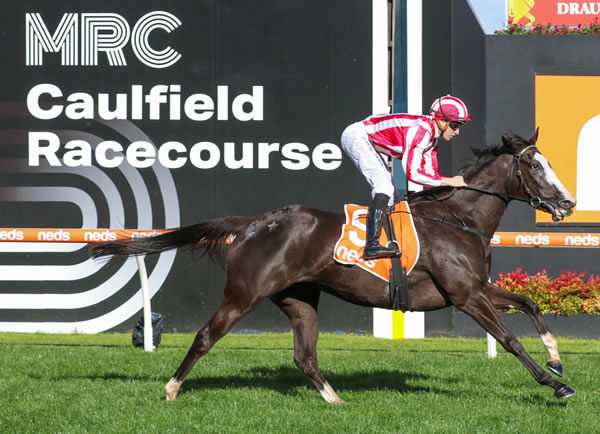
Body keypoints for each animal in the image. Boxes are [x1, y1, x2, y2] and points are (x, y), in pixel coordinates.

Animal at [90, 128, 576, 400]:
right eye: (536, 165)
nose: (568, 203)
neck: (460, 218)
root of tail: (254, 223)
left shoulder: (477, 288)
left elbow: (531, 304)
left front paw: (556, 359)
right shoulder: (466, 295)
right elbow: (510, 340)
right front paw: (556, 385)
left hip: (299, 298)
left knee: (305, 356)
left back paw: (336, 401)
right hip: (244, 294)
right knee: (207, 335)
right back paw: (172, 389)